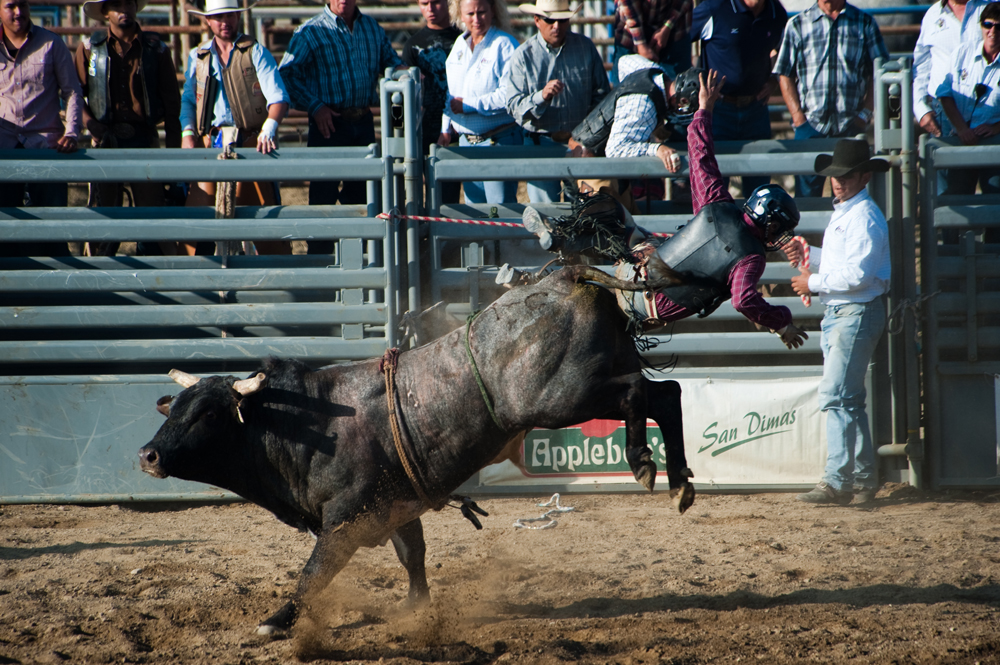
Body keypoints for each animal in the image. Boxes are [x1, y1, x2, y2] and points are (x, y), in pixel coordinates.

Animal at [138, 264, 695, 637]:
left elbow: (314, 574)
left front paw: (278, 620)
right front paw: (415, 607)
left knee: (637, 395)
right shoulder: (396, 508)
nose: (148, 455)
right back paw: (679, 482)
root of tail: (568, 278)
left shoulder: (346, 520)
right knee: (666, 394)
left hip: (563, 398)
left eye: (209, 413)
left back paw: (644, 463)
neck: (305, 424)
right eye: (174, 408)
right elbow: (413, 556)